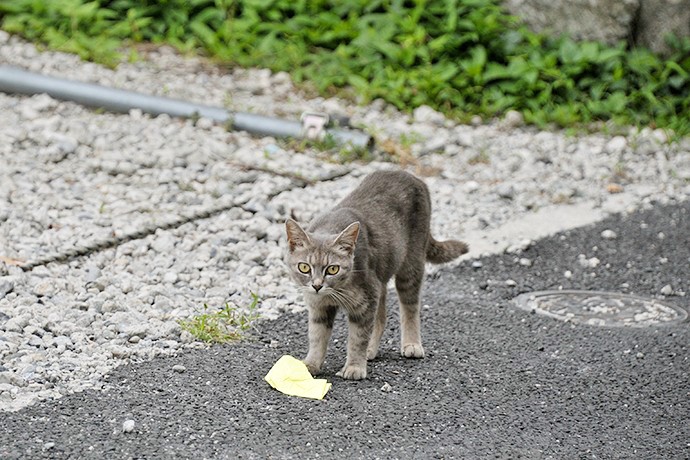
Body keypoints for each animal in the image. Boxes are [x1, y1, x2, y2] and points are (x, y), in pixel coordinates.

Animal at [282, 171, 464, 380]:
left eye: (333, 269)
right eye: (304, 267)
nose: (317, 285)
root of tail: (410, 175)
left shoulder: (366, 300)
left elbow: (358, 337)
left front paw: (354, 367)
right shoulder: (319, 306)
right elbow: (317, 336)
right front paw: (310, 364)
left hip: (410, 266)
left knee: (410, 308)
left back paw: (411, 344)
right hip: (382, 277)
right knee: (382, 316)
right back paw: (371, 349)